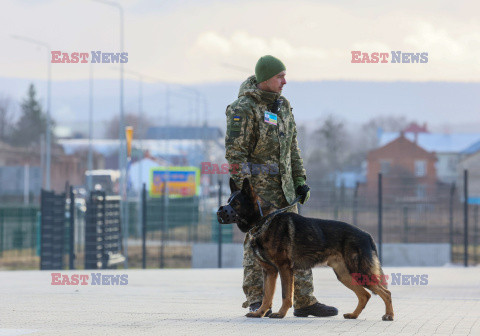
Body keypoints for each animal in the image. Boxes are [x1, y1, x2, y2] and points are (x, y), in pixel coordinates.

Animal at [218, 177, 394, 322]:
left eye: (235, 204)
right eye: (228, 201)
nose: (220, 211)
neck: (264, 220)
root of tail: (367, 234)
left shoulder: (284, 269)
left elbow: (285, 294)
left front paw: (280, 313)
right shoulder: (269, 271)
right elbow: (267, 296)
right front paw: (260, 313)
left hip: (359, 272)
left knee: (386, 292)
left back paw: (389, 315)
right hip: (345, 275)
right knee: (365, 295)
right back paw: (354, 315)